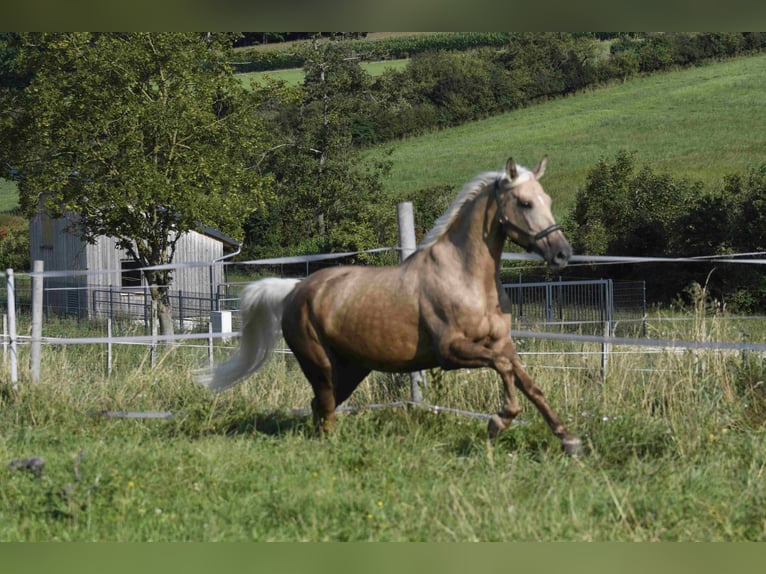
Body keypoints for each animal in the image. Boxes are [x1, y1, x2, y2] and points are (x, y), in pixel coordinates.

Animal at [198, 158, 584, 454]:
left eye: (547, 199)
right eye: (525, 203)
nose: (562, 254)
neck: (466, 277)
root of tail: (295, 289)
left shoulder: (503, 343)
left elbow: (530, 384)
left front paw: (569, 440)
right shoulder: (451, 351)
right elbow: (504, 370)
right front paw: (498, 421)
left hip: (352, 369)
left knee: (321, 407)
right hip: (319, 364)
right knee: (324, 406)